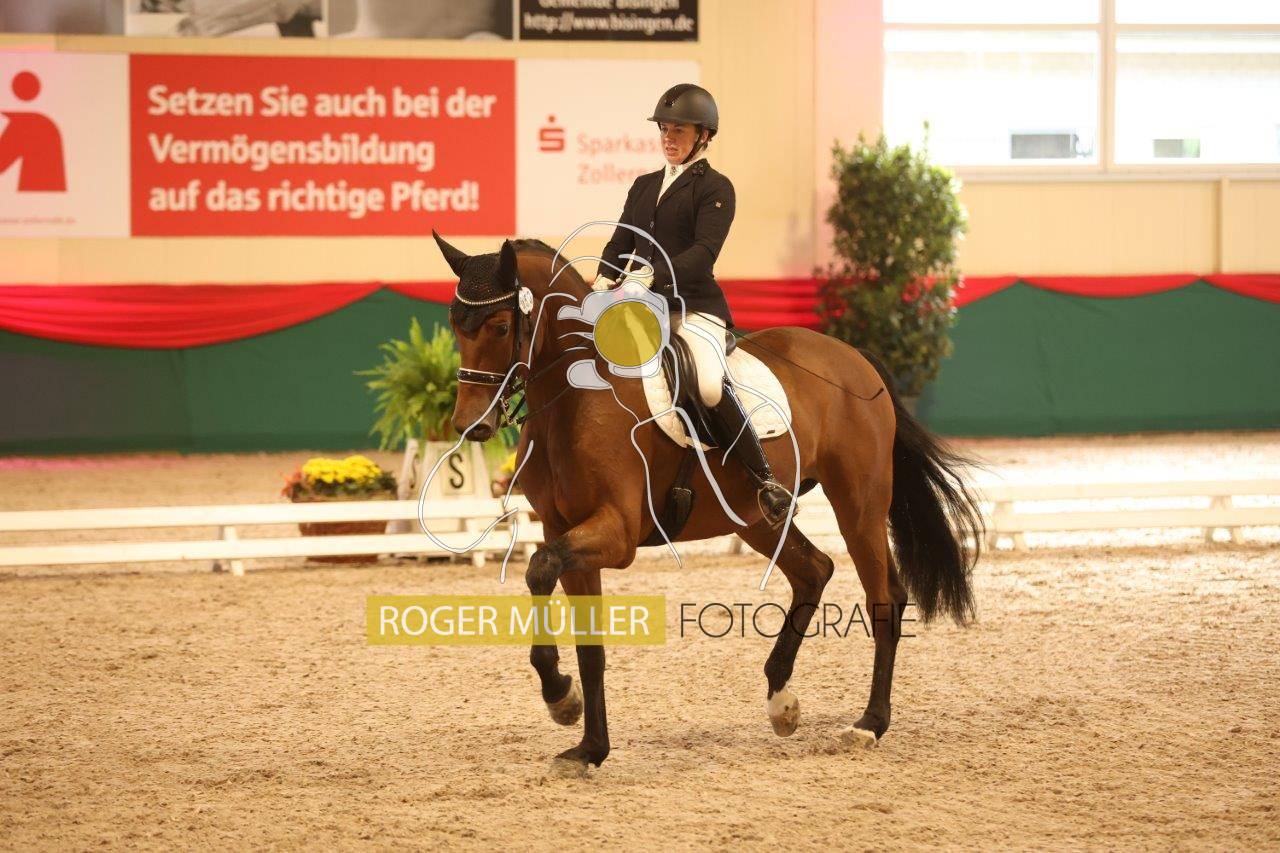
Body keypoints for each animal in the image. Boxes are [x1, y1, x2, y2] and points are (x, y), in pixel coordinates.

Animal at [433, 233, 983, 776]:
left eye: (501, 326)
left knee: (883, 597)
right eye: (456, 326)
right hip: (755, 517)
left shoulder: (616, 532)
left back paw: (869, 723)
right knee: (815, 569)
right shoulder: (561, 529)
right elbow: (585, 638)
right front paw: (588, 744)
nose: (469, 425)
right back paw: (781, 701)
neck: (575, 397)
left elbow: (540, 568)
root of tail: (856, 358)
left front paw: (560, 698)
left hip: (859, 503)